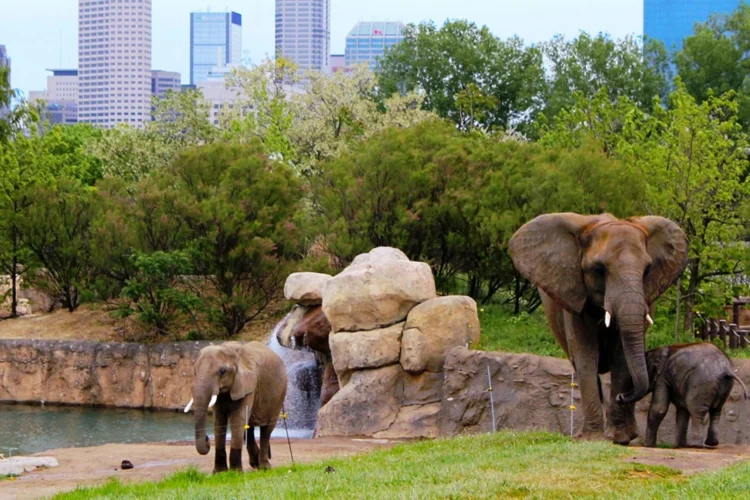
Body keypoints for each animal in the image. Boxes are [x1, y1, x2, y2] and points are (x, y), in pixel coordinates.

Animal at [185, 341, 288, 472]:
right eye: (195, 371)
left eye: (222, 372)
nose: (207, 439)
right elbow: (219, 420)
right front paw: (219, 472)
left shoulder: (248, 386)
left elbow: (237, 419)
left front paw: (236, 472)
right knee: (249, 427)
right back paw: (255, 464)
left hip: (280, 394)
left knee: (267, 429)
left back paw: (264, 467)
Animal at [509, 213, 688, 444]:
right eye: (599, 270)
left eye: (647, 270)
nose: (621, 397)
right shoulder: (574, 296)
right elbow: (586, 356)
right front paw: (592, 438)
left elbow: (622, 357)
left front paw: (619, 438)